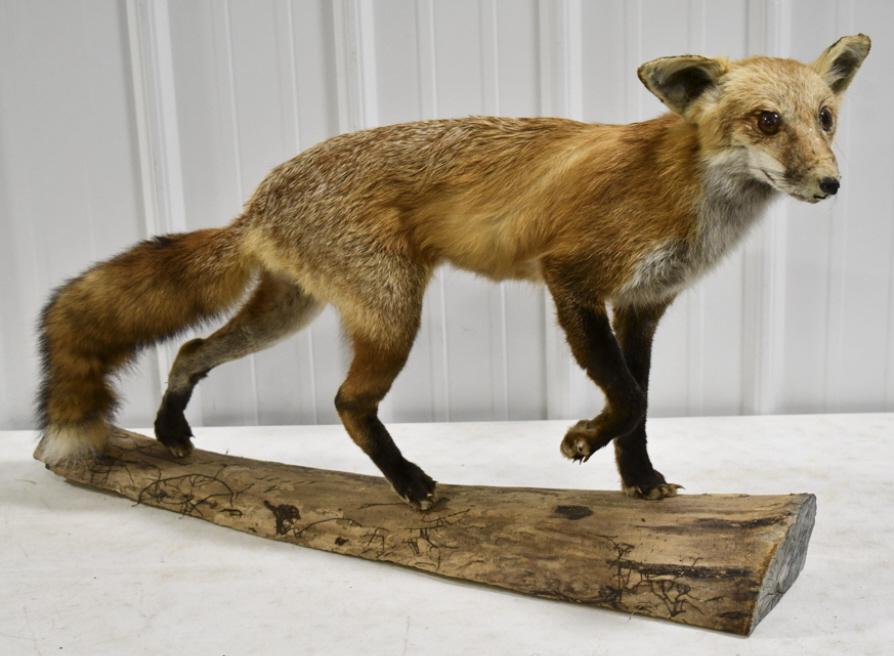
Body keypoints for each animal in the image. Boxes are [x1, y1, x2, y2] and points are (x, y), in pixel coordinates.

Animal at [35, 35, 870, 509]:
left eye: (826, 119)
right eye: (767, 121)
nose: (832, 185)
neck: (685, 190)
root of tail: (261, 195)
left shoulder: (644, 305)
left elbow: (638, 404)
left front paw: (637, 481)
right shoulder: (572, 278)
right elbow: (627, 397)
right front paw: (581, 442)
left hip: (290, 312)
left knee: (190, 349)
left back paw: (171, 428)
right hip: (393, 311)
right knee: (346, 403)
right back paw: (410, 483)